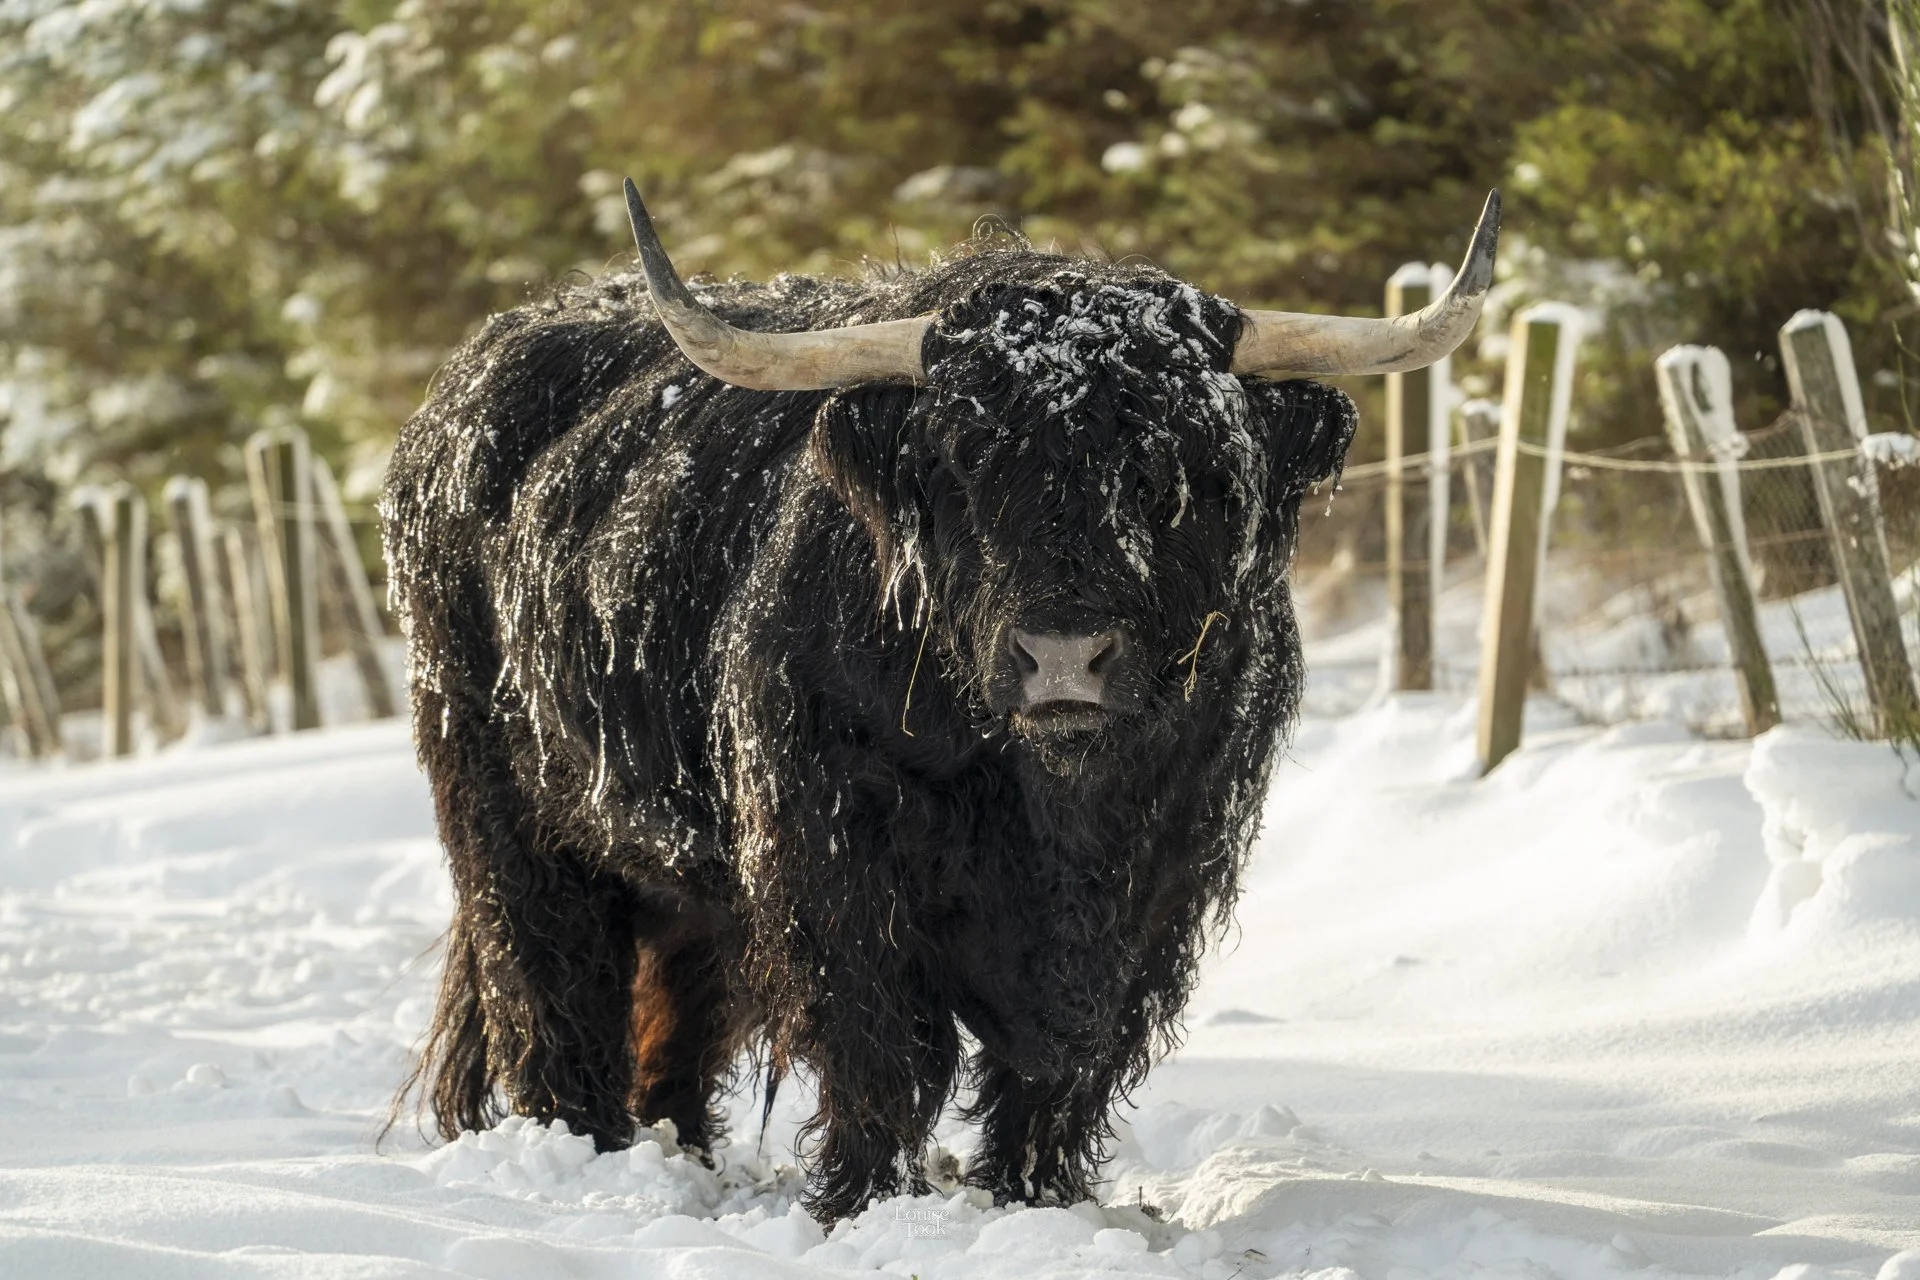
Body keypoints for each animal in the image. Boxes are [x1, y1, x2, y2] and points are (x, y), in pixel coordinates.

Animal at [382, 179, 1498, 1220]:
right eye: (966, 465)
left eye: (1182, 469)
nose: (1064, 657)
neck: (1054, 811)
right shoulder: (837, 856)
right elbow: (884, 1048)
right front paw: (864, 1204)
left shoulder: (1161, 878)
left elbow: (1065, 1071)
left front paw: (1038, 1202)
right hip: (504, 804)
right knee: (550, 984)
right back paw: (583, 1147)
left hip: (681, 858)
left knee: (675, 1012)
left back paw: (680, 1152)